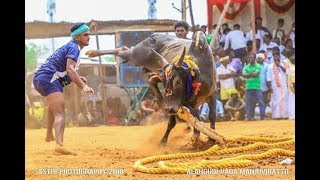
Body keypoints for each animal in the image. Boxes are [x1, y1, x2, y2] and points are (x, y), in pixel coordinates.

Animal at [86, 31, 218, 146]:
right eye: (165, 84)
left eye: (178, 81)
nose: (168, 109)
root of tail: (154, 35)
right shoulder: (178, 103)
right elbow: (173, 122)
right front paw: (164, 141)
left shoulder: (211, 96)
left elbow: (211, 116)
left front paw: (211, 137)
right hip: (137, 57)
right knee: (122, 50)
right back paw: (92, 52)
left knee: (150, 78)